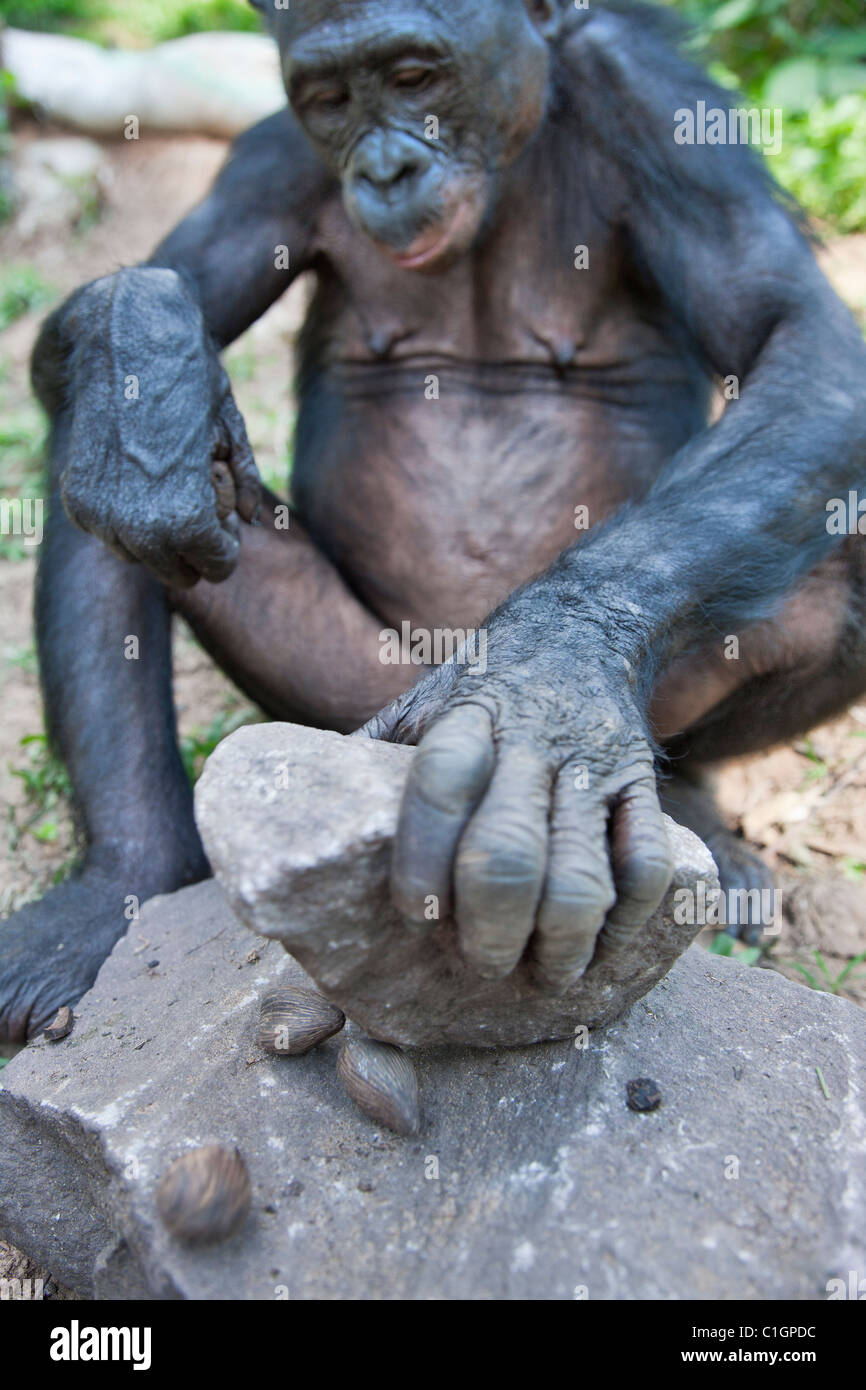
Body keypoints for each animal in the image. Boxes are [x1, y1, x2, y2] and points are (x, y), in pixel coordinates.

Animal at [1, 0, 866, 1039]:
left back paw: (696, 812)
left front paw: (543, 682)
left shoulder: (657, 105)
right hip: (340, 690)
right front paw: (148, 342)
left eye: (416, 77)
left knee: (841, 564)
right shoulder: (271, 159)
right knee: (110, 474)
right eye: (333, 99)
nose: (384, 168)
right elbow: (121, 321)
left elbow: (800, 341)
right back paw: (113, 891)